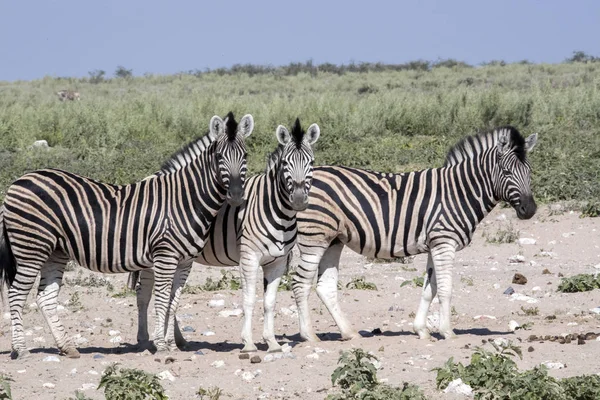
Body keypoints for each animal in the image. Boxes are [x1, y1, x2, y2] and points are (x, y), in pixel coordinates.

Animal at [0, 112, 253, 360]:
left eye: (245, 155)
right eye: (219, 156)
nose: (236, 196)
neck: (185, 199)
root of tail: (17, 182)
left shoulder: (185, 262)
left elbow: (174, 301)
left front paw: (172, 344)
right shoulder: (165, 256)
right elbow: (162, 299)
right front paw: (162, 346)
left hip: (55, 251)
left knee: (45, 297)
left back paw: (67, 347)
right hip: (31, 249)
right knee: (16, 294)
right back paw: (21, 350)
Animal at [129, 117, 322, 352]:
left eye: (311, 162)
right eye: (285, 163)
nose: (299, 200)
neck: (276, 209)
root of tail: (151, 176)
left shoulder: (277, 261)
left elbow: (269, 302)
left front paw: (272, 342)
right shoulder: (249, 257)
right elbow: (249, 299)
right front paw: (248, 343)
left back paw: (178, 339)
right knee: (144, 294)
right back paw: (144, 339)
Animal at [290, 126, 540, 342]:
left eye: (529, 171)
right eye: (506, 171)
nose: (530, 210)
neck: (460, 192)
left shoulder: (435, 243)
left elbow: (430, 289)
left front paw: (421, 330)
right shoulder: (444, 242)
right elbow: (446, 289)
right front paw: (447, 332)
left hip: (333, 240)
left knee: (325, 287)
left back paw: (349, 332)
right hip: (315, 236)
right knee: (300, 282)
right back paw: (309, 335)